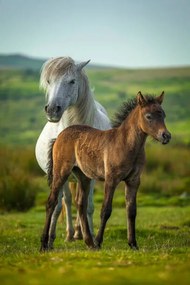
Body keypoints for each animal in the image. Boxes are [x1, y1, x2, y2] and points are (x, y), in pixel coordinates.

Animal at [35, 56, 110, 247]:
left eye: (72, 81)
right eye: (49, 81)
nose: (52, 109)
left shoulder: (91, 177)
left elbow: (88, 206)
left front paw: (91, 236)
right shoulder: (56, 174)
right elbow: (57, 206)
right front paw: (50, 239)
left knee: (78, 201)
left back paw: (78, 232)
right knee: (68, 202)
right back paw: (70, 234)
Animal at [40, 91, 171, 251]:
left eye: (163, 114)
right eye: (149, 116)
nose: (166, 136)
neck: (127, 144)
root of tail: (59, 136)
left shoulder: (133, 181)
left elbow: (131, 211)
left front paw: (133, 244)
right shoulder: (111, 179)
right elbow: (106, 210)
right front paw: (99, 241)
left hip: (83, 176)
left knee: (81, 203)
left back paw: (89, 243)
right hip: (61, 172)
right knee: (51, 202)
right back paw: (44, 244)